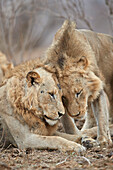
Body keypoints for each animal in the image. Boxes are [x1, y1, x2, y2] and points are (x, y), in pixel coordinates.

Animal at [44, 19, 113, 147]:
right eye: (63, 97)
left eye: (79, 92)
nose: (76, 114)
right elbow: (67, 122)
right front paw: (79, 136)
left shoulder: (97, 86)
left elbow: (101, 114)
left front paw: (103, 140)